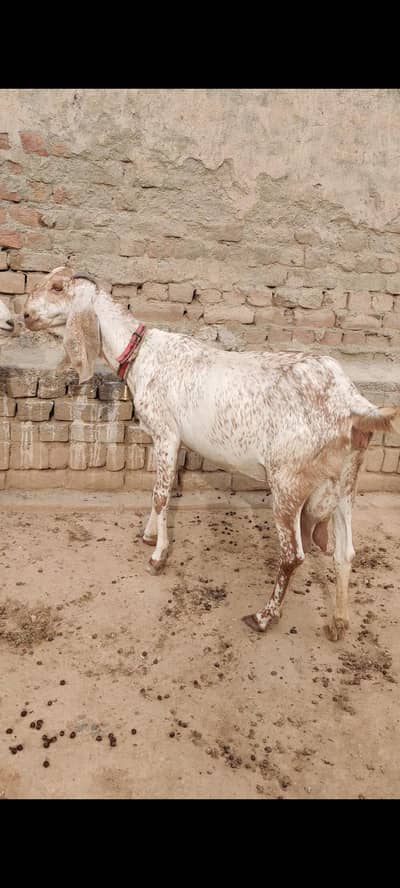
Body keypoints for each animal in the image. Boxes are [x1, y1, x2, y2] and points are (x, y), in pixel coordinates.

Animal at [23, 266, 400, 641]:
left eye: (57, 287)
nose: (25, 315)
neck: (142, 353)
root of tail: (353, 405)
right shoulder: (164, 440)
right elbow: (159, 490)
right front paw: (148, 535)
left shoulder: (167, 433)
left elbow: (161, 495)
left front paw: (158, 556)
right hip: (345, 483)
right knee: (345, 552)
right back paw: (339, 621)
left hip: (288, 482)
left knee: (293, 555)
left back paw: (264, 616)